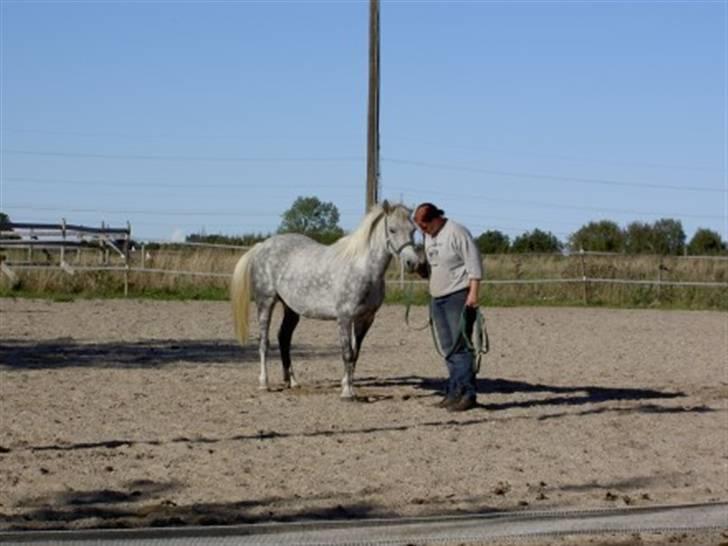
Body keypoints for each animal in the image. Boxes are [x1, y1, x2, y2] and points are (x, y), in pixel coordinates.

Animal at [230, 200, 418, 396]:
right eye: (392, 230)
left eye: (413, 230)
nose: (412, 263)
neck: (363, 269)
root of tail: (261, 246)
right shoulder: (344, 317)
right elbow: (347, 353)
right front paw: (347, 392)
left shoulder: (366, 319)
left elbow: (355, 354)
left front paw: (347, 385)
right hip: (265, 302)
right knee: (264, 342)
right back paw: (264, 383)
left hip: (291, 309)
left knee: (284, 338)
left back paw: (292, 381)